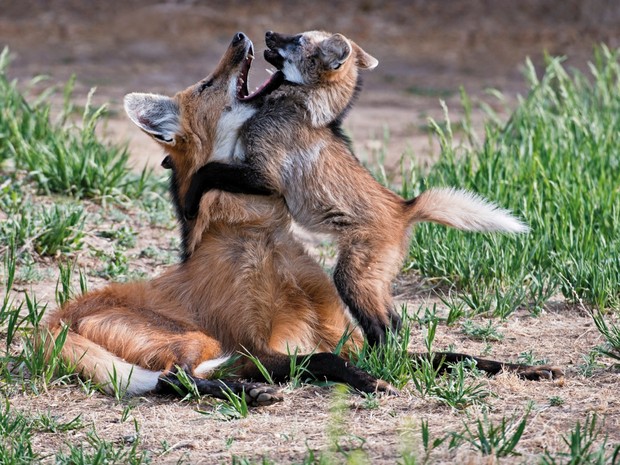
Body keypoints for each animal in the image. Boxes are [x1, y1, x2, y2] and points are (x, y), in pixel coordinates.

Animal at [184, 29, 528, 344]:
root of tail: (404, 207)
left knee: (382, 324)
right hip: (373, 277)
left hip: (351, 275)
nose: (268, 33)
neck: (294, 106)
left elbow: (207, 171)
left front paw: (188, 202)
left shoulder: (264, 176)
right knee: (395, 320)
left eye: (296, 40)